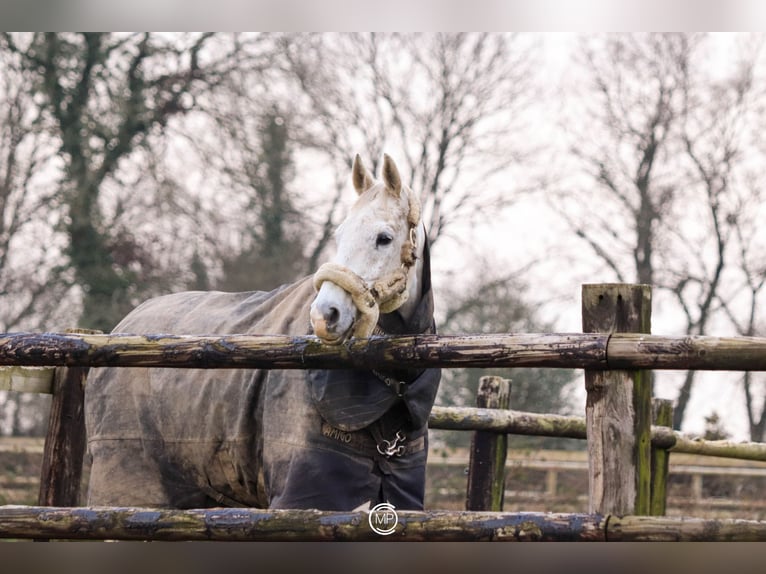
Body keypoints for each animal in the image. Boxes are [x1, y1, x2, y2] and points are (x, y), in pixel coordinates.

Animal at [84, 154, 440, 512]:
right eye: (339, 236)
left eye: (384, 238)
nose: (325, 314)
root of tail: (121, 328)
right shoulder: (304, 499)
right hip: (133, 488)